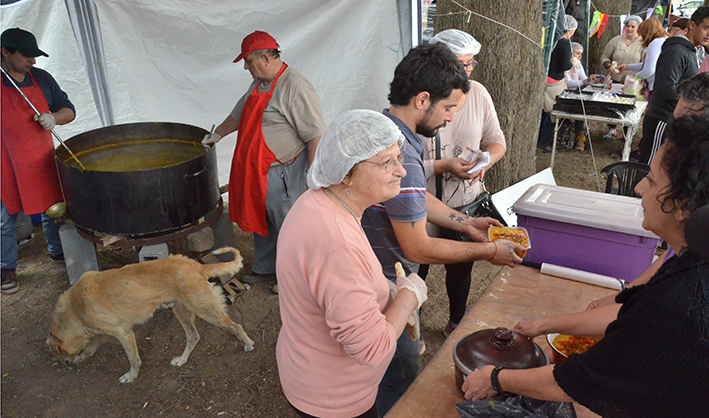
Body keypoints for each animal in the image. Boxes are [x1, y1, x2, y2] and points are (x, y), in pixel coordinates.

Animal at [45, 248, 254, 382]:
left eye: (56, 352)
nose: (63, 364)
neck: (75, 307)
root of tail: (196, 266)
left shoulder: (123, 333)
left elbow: (133, 359)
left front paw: (131, 376)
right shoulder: (102, 332)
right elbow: (90, 347)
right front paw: (82, 357)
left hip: (206, 310)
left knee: (235, 326)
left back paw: (248, 343)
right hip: (182, 312)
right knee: (194, 336)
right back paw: (182, 359)